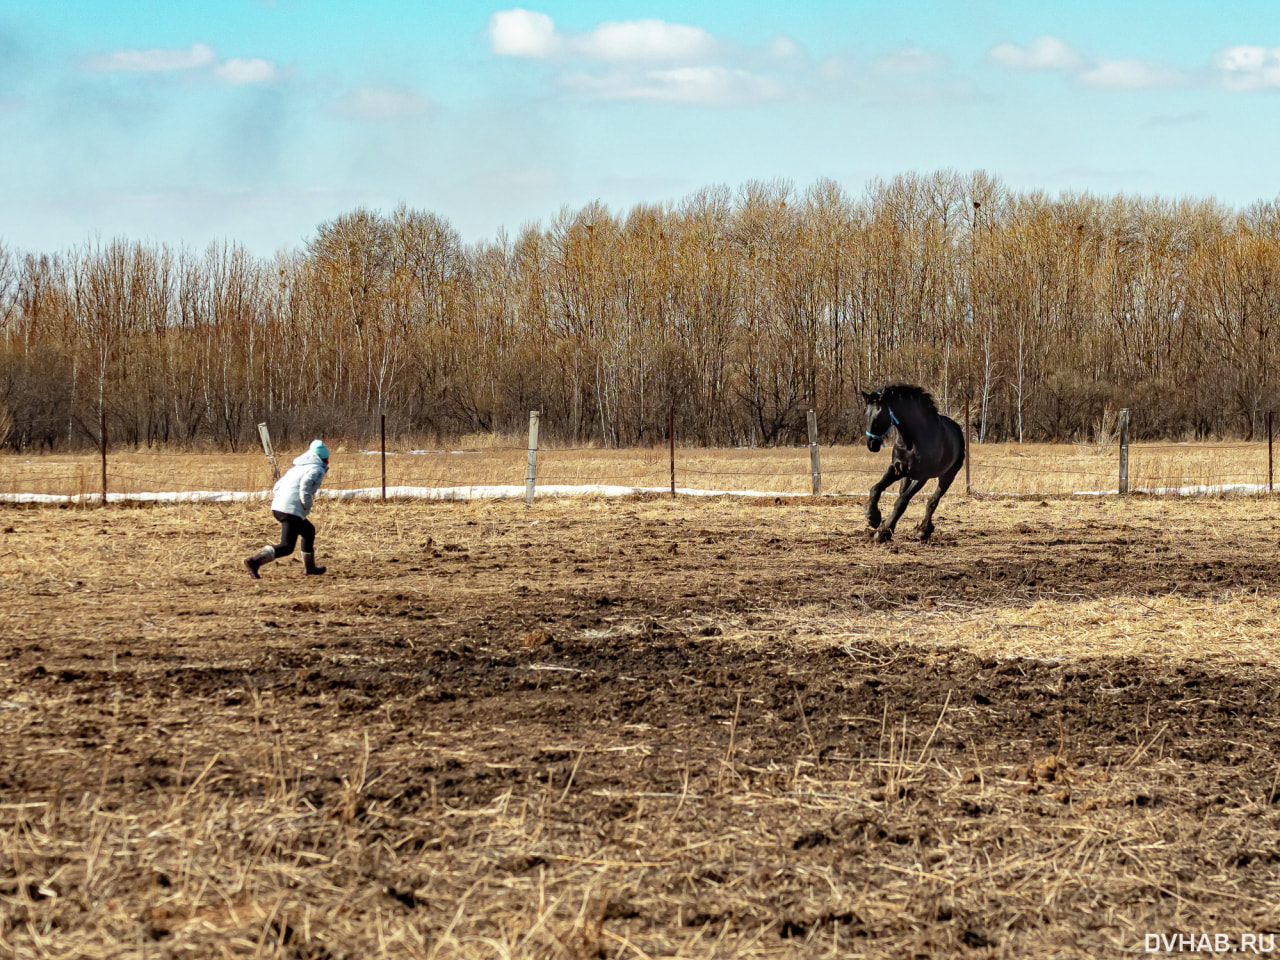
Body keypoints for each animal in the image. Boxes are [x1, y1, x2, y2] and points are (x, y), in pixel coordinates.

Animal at [865, 386, 962, 547]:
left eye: (880, 414)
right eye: (866, 413)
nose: (872, 444)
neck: (911, 440)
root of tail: (957, 429)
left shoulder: (922, 476)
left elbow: (902, 502)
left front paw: (882, 532)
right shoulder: (896, 469)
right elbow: (875, 489)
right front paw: (872, 517)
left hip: (947, 477)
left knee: (932, 502)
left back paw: (923, 531)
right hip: (906, 477)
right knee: (902, 492)